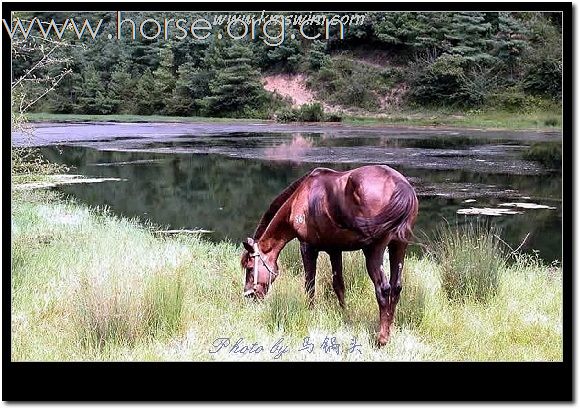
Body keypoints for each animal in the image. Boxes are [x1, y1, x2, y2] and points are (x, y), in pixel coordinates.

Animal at [239, 163, 416, 344]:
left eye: (250, 267)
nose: (248, 294)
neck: (301, 198)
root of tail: (399, 184)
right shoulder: (334, 250)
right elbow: (339, 285)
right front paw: (344, 315)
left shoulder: (307, 248)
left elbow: (310, 284)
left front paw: (309, 311)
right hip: (399, 246)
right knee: (396, 287)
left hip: (374, 251)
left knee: (383, 289)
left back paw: (381, 339)